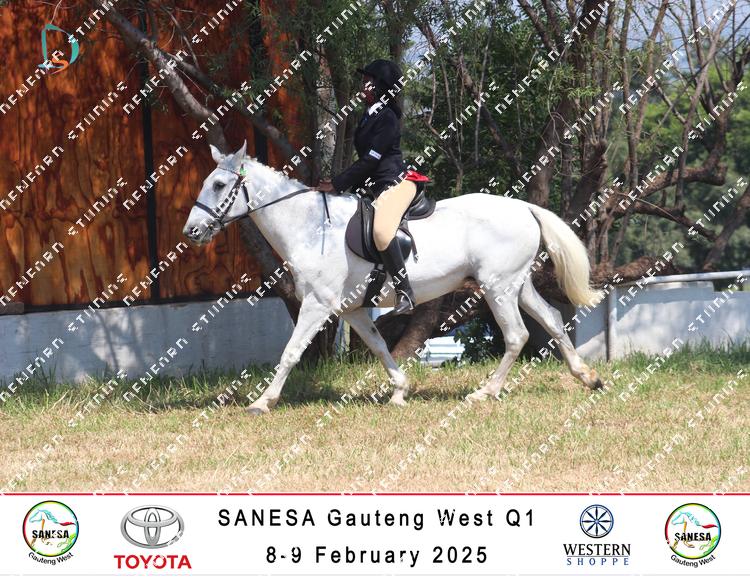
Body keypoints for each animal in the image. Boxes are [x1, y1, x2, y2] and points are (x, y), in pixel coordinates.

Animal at [182, 141, 604, 414]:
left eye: (219, 185)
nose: (191, 232)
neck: (311, 226)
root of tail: (523, 207)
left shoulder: (318, 305)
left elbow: (291, 351)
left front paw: (262, 402)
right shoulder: (351, 310)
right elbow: (380, 347)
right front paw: (400, 392)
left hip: (497, 287)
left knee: (516, 335)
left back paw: (485, 392)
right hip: (516, 284)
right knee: (551, 319)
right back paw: (587, 377)